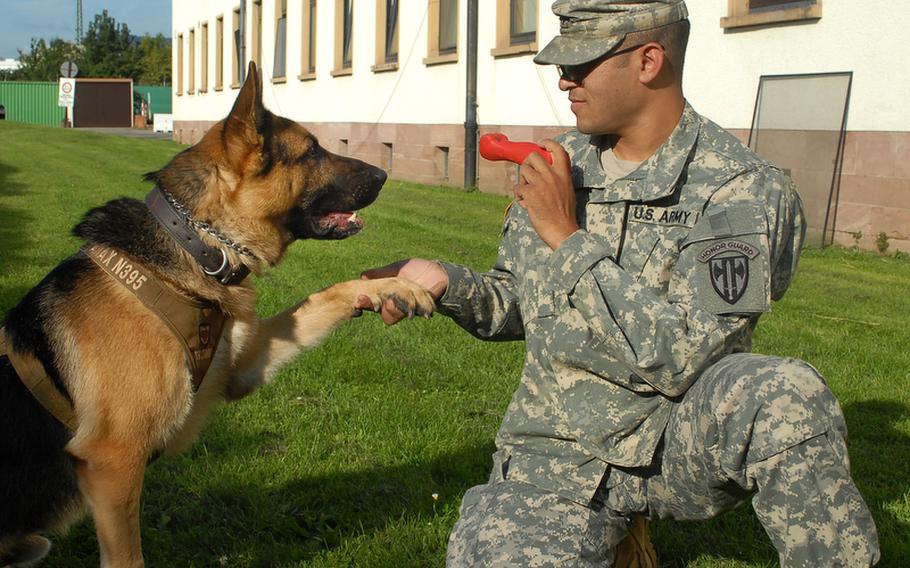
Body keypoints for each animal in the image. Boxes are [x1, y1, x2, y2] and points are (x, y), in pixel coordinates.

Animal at [0, 63, 434, 568]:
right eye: (311, 151)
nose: (385, 173)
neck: (196, 245)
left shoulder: (240, 370)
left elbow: (325, 297)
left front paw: (394, 286)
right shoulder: (112, 465)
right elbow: (130, 558)